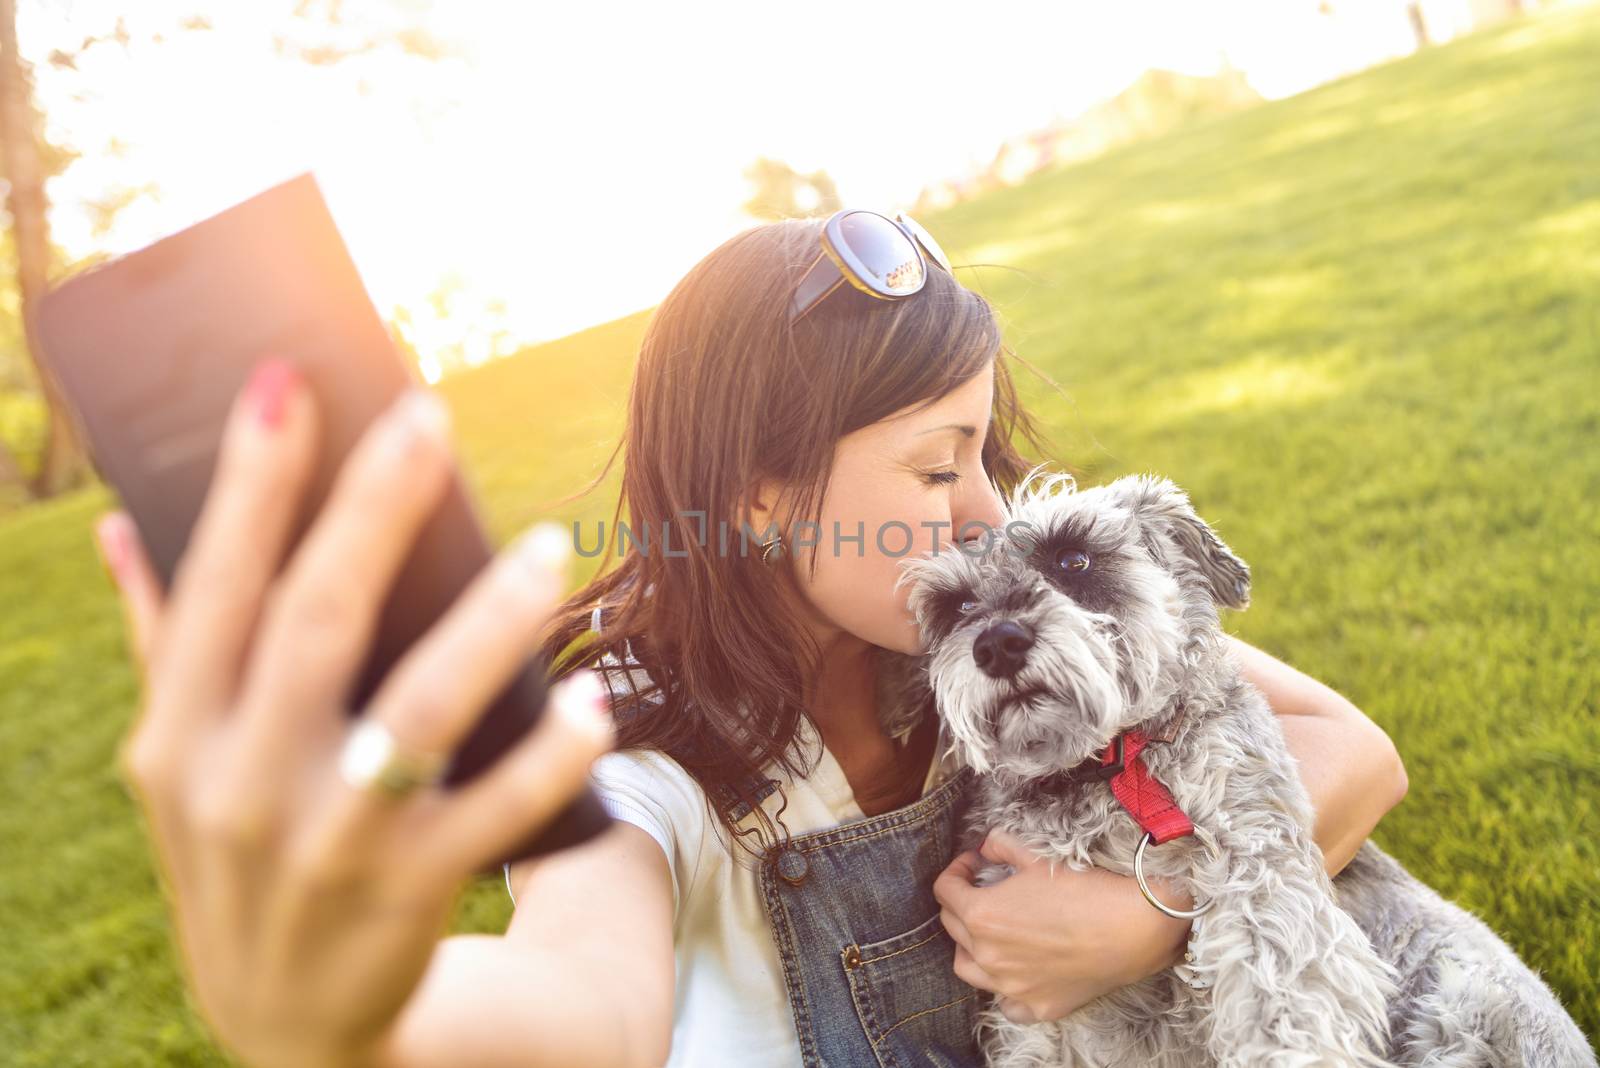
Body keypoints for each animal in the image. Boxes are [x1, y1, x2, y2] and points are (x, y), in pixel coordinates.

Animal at [896, 470, 1593, 1068]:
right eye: (957, 607)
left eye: (1074, 559)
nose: (997, 643)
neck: (1112, 768)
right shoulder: (1047, 1005)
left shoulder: (1255, 852)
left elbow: (1280, 990)